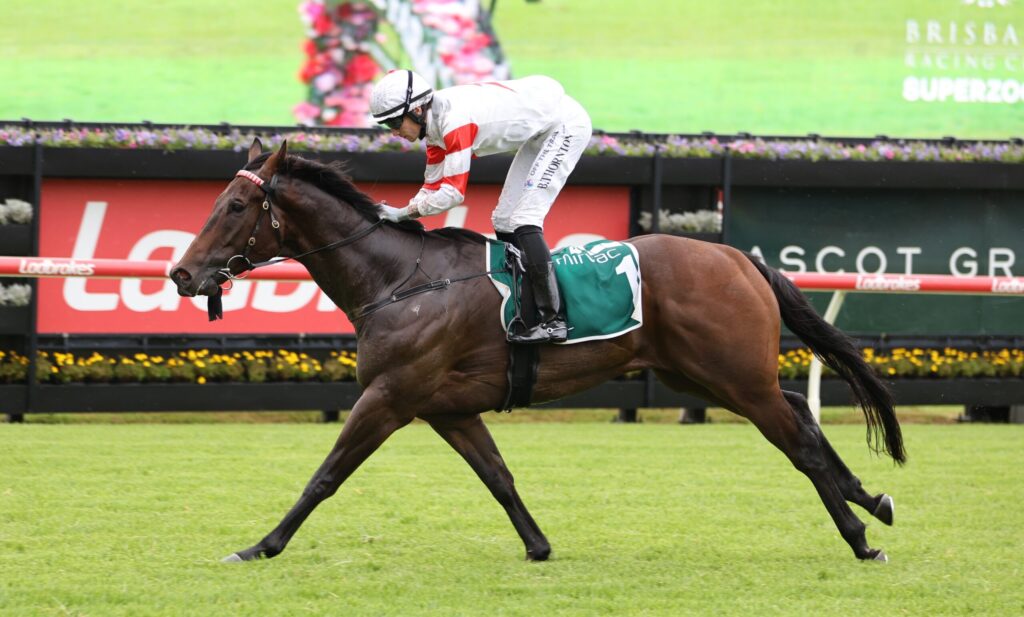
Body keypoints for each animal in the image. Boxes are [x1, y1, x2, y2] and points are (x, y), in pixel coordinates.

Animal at [170, 138, 905, 564]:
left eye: (234, 207)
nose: (181, 273)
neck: (401, 279)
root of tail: (738, 256)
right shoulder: (446, 407)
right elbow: (498, 477)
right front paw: (538, 544)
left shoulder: (389, 397)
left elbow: (325, 475)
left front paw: (261, 545)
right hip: (700, 375)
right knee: (798, 409)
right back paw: (871, 500)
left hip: (731, 376)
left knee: (798, 440)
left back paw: (859, 536)